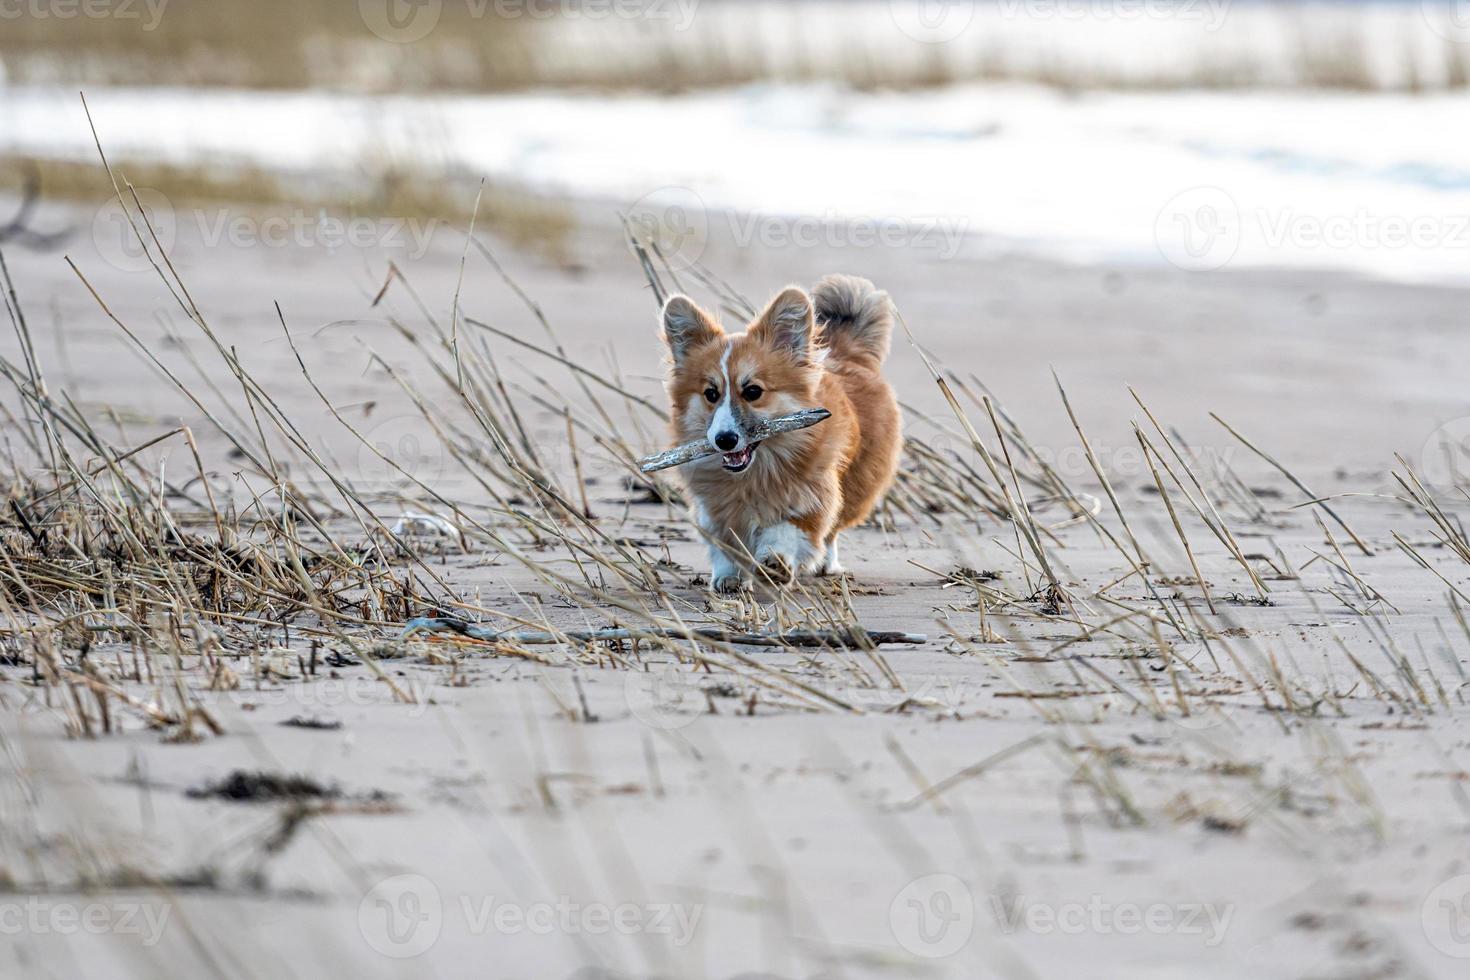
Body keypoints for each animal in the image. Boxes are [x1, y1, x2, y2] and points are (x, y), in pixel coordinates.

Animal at [661, 274, 899, 590]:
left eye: (753, 391)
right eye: (711, 394)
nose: (725, 440)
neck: (753, 474)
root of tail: (846, 352)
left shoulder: (811, 497)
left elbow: (788, 531)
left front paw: (775, 562)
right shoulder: (713, 510)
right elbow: (725, 545)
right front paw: (729, 577)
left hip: (856, 485)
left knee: (832, 530)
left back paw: (826, 564)